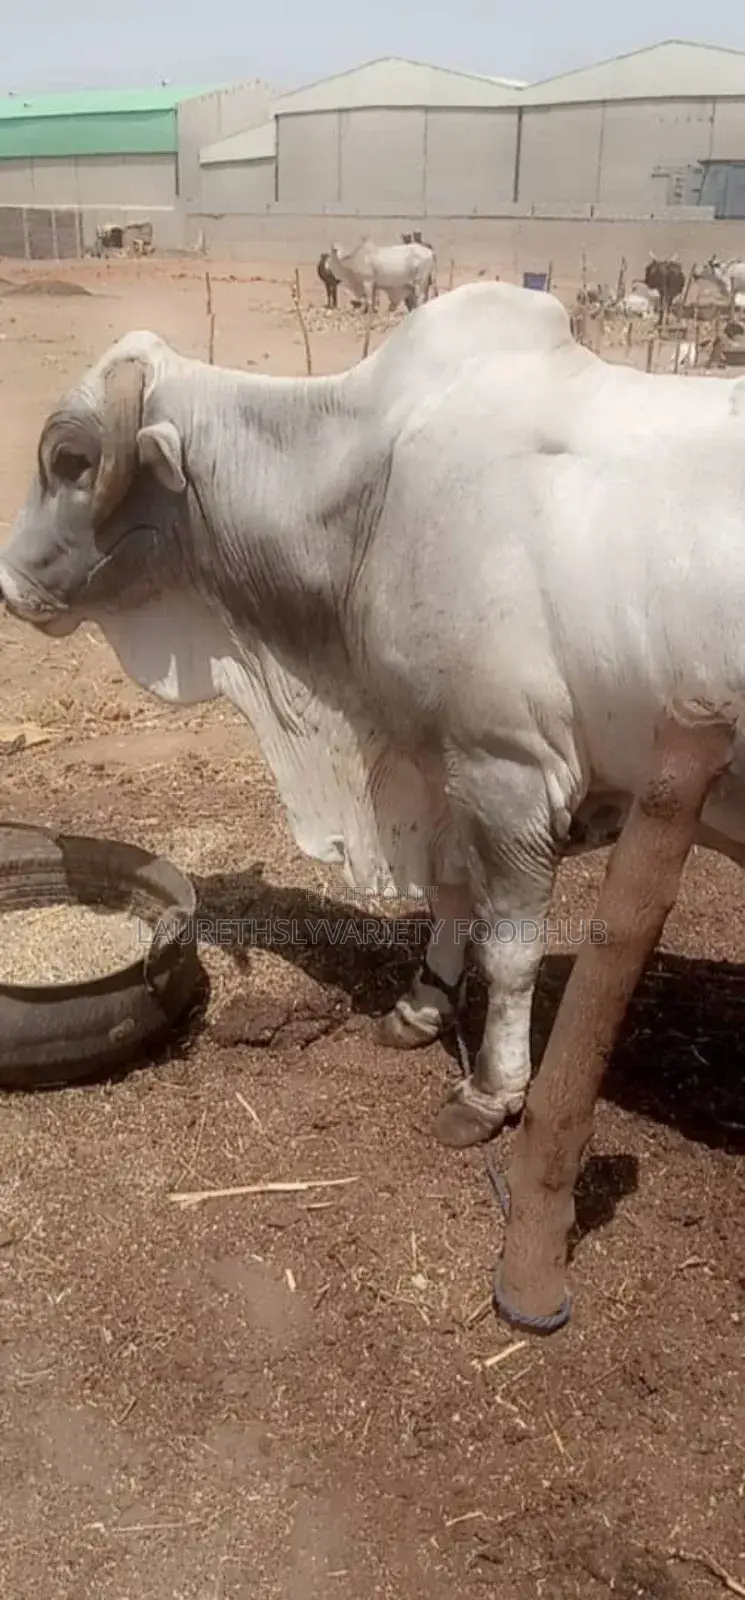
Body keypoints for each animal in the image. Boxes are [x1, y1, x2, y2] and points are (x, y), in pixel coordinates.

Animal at [5, 281, 745, 1155]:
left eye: (70, 460)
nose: (10, 584)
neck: (367, 482)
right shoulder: (440, 765)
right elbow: (451, 898)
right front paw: (421, 1007)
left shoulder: (508, 773)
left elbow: (511, 948)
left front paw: (490, 1092)